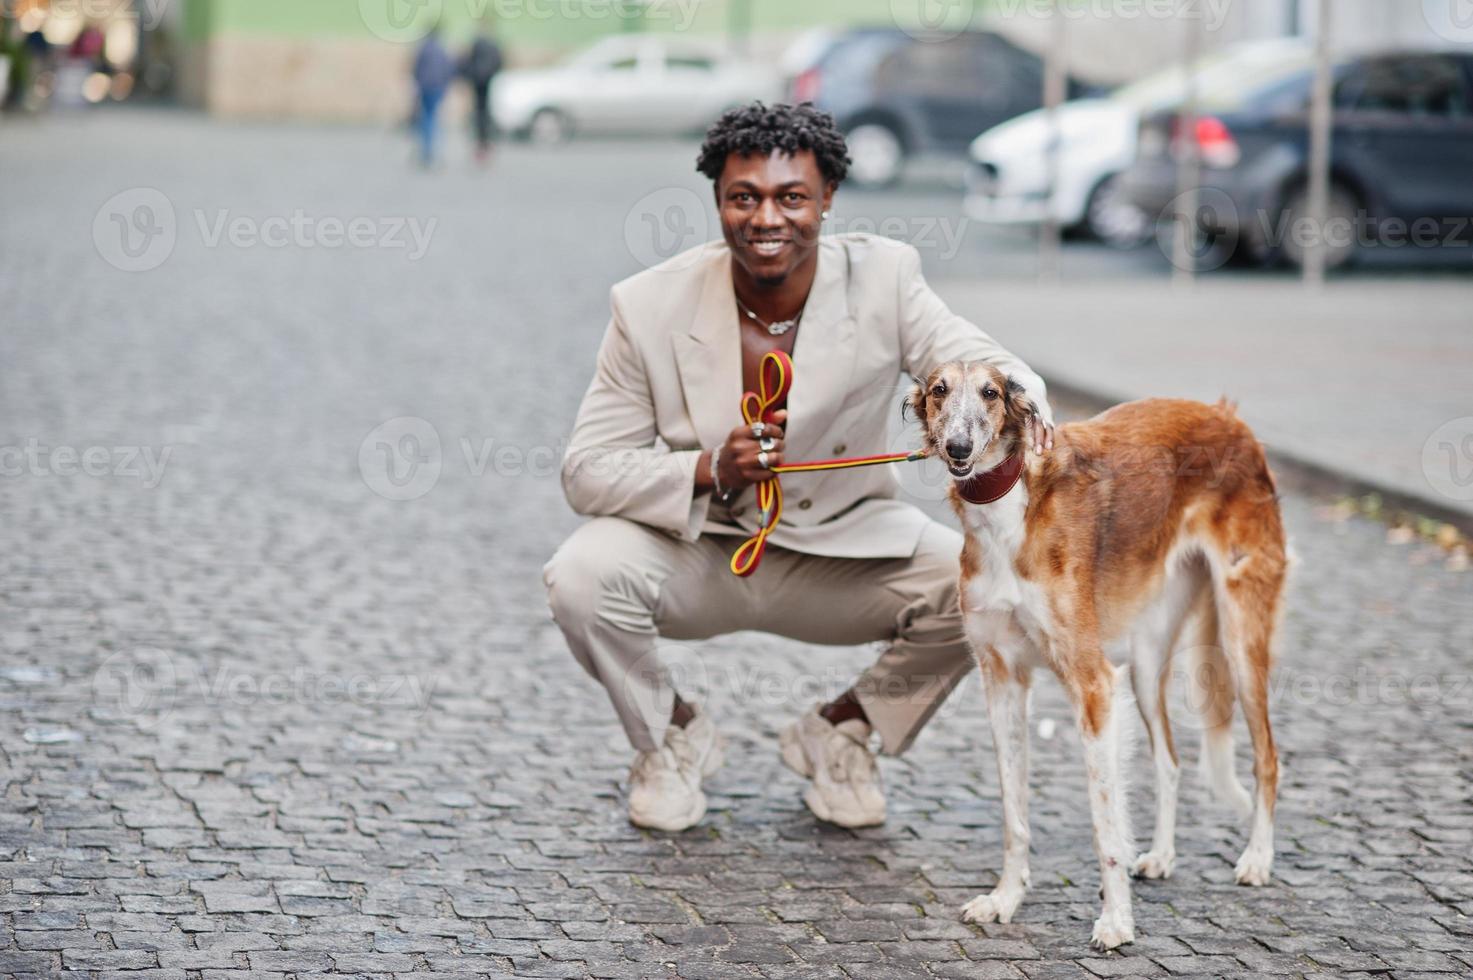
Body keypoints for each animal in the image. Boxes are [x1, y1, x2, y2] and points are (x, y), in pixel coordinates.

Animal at [907, 359, 1290, 949]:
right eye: (938, 391)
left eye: (991, 393)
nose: (958, 446)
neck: (1010, 512)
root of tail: (1230, 418)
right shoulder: (1002, 679)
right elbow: (1014, 813)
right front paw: (1005, 899)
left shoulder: (1093, 685)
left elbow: (1104, 823)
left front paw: (1116, 922)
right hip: (1149, 660)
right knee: (1171, 760)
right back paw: (1161, 855)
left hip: (1241, 635)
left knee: (1267, 758)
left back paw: (1257, 859)